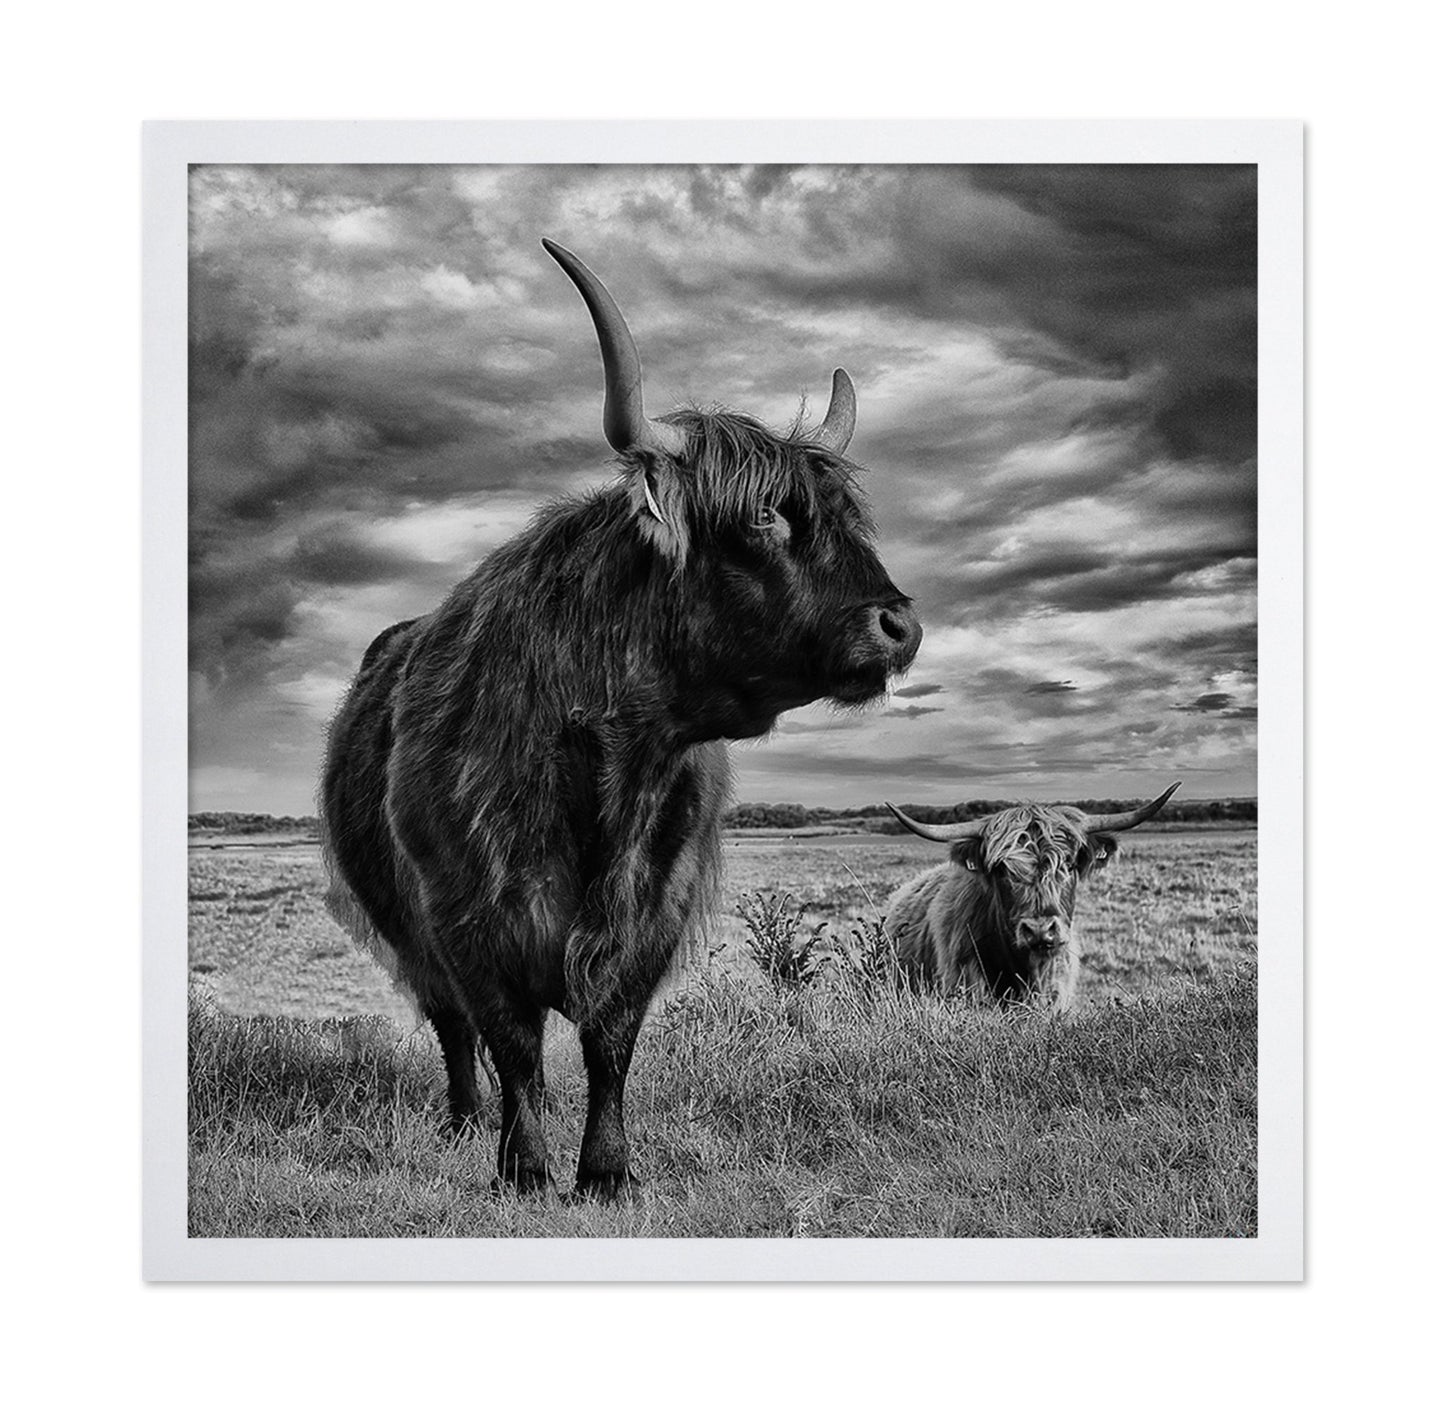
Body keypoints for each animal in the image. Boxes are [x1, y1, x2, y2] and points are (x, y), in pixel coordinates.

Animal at [320, 239, 923, 1198]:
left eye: (844, 518)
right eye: (762, 514)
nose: (899, 622)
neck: (612, 767)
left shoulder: (655, 913)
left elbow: (609, 1042)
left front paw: (605, 1170)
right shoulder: (466, 915)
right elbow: (512, 1041)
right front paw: (525, 1168)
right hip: (405, 927)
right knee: (453, 1026)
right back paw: (464, 1123)